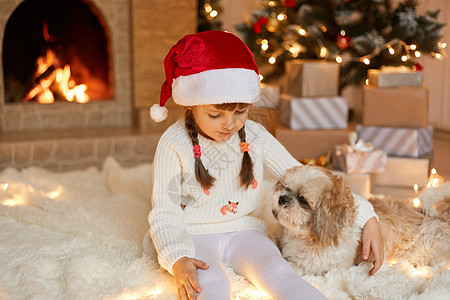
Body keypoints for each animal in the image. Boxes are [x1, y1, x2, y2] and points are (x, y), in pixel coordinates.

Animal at [270, 165, 450, 276]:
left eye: (303, 200)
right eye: (285, 187)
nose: (281, 198)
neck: (303, 237)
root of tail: (441, 217)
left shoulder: (326, 268)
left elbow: (295, 267)